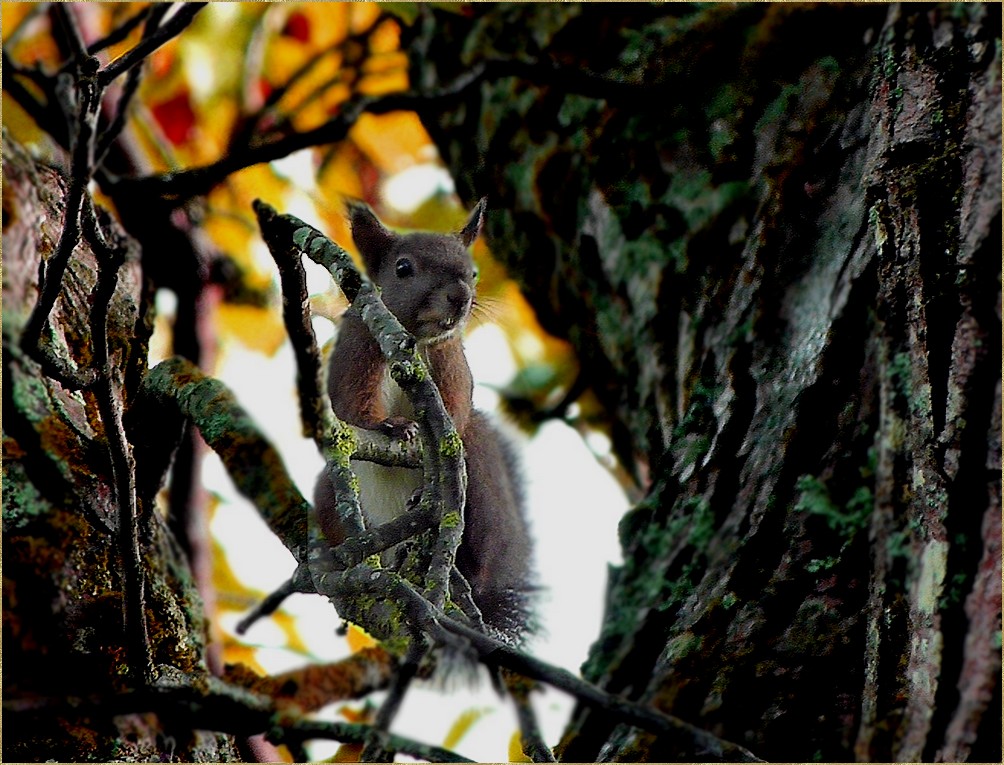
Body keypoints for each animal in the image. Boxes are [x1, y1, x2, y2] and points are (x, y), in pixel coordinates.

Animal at [313, 199, 534, 642]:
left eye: (473, 272)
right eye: (403, 268)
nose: (459, 297)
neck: (413, 343)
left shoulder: (451, 367)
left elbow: (456, 410)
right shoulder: (356, 353)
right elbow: (350, 405)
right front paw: (394, 426)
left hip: (482, 494)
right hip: (327, 495)